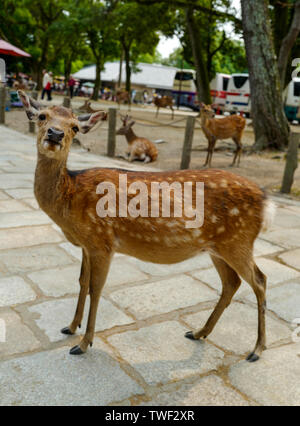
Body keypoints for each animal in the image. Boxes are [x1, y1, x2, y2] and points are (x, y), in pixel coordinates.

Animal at [17, 88, 276, 362]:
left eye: (75, 127)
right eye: (42, 116)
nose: (55, 134)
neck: (70, 198)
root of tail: (266, 200)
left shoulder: (102, 241)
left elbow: (96, 289)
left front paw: (84, 344)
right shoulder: (87, 244)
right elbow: (82, 282)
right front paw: (70, 327)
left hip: (239, 241)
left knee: (260, 280)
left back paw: (257, 349)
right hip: (218, 246)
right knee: (232, 282)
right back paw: (198, 332)